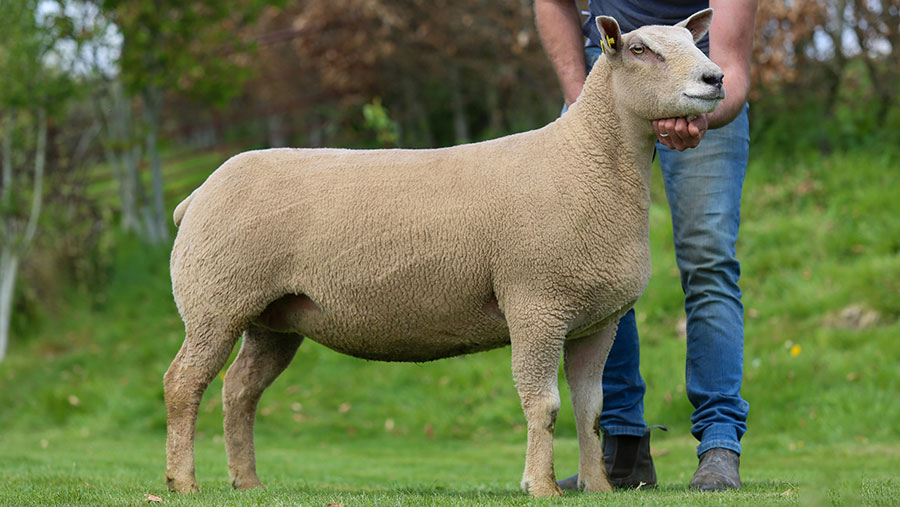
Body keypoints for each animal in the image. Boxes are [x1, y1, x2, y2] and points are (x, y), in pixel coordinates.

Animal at [163, 8, 724, 500]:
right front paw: (540, 487)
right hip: (216, 299)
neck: (585, 161)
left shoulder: (596, 321)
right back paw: (183, 483)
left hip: (273, 315)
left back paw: (248, 483)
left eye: (694, 41)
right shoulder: (535, 304)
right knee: (183, 383)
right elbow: (544, 405)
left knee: (239, 390)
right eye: (639, 49)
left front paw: (599, 487)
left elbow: (591, 411)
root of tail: (197, 194)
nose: (716, 78)